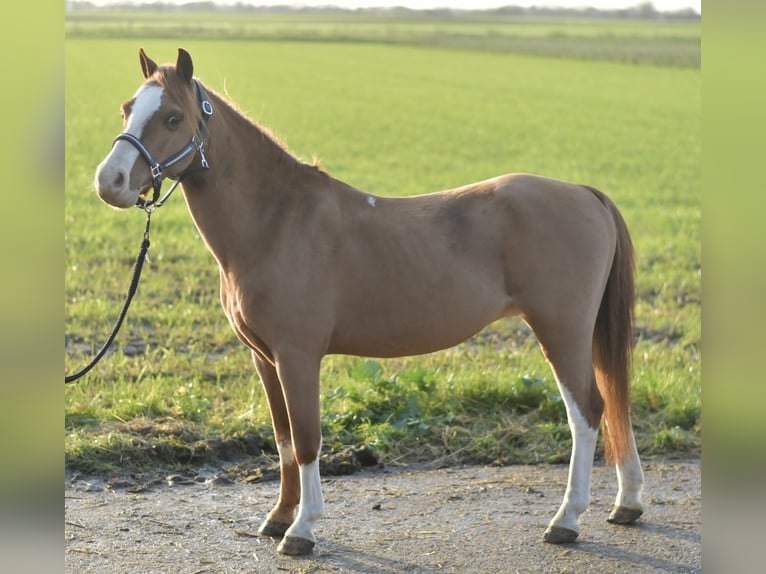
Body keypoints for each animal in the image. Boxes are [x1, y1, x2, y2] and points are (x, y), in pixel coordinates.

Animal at [94, 48, 644, 555]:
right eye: (126, 109)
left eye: (173, 117)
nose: (109, 182)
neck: (276, 221)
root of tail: (584, 194)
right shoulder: (264, 359)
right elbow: (284, 439)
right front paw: (278, 517)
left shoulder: (298, 357)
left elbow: (308, 438)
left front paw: (302, 529)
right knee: (612, 400)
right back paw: (627, 503)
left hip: (561, 331)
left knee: (587, 412)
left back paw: (566, 520)